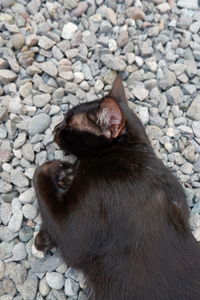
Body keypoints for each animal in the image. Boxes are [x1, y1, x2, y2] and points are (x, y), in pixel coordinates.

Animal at [33, 75, 200, 300]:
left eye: (69, 123)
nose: (55, 128)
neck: (128, 152)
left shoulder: (75, 236)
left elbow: (40, 177)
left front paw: (58, 168)